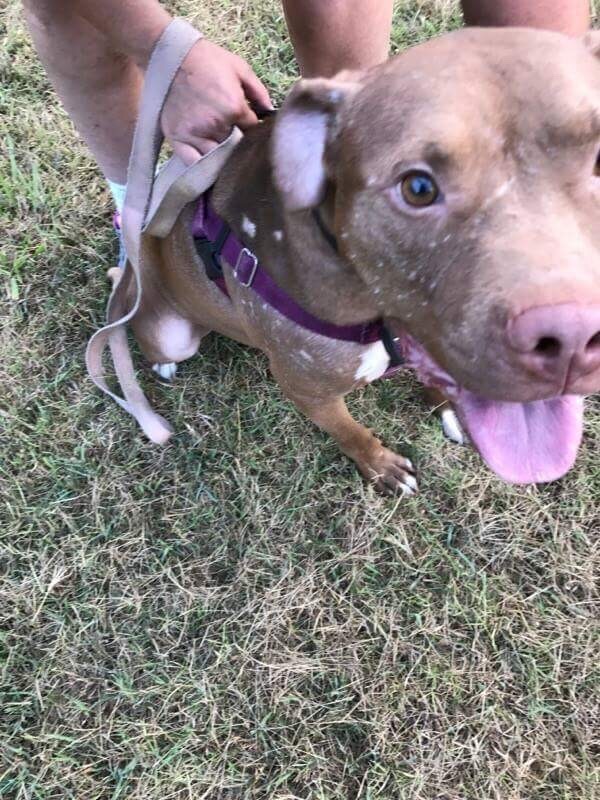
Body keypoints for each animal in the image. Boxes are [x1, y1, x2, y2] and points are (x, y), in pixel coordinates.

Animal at [123, 29, 600, 494]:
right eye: (418, 188)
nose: (571, 338)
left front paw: (446, 408)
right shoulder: (307, 391)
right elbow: (350, 433)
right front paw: (381, 465)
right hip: (170, 330)